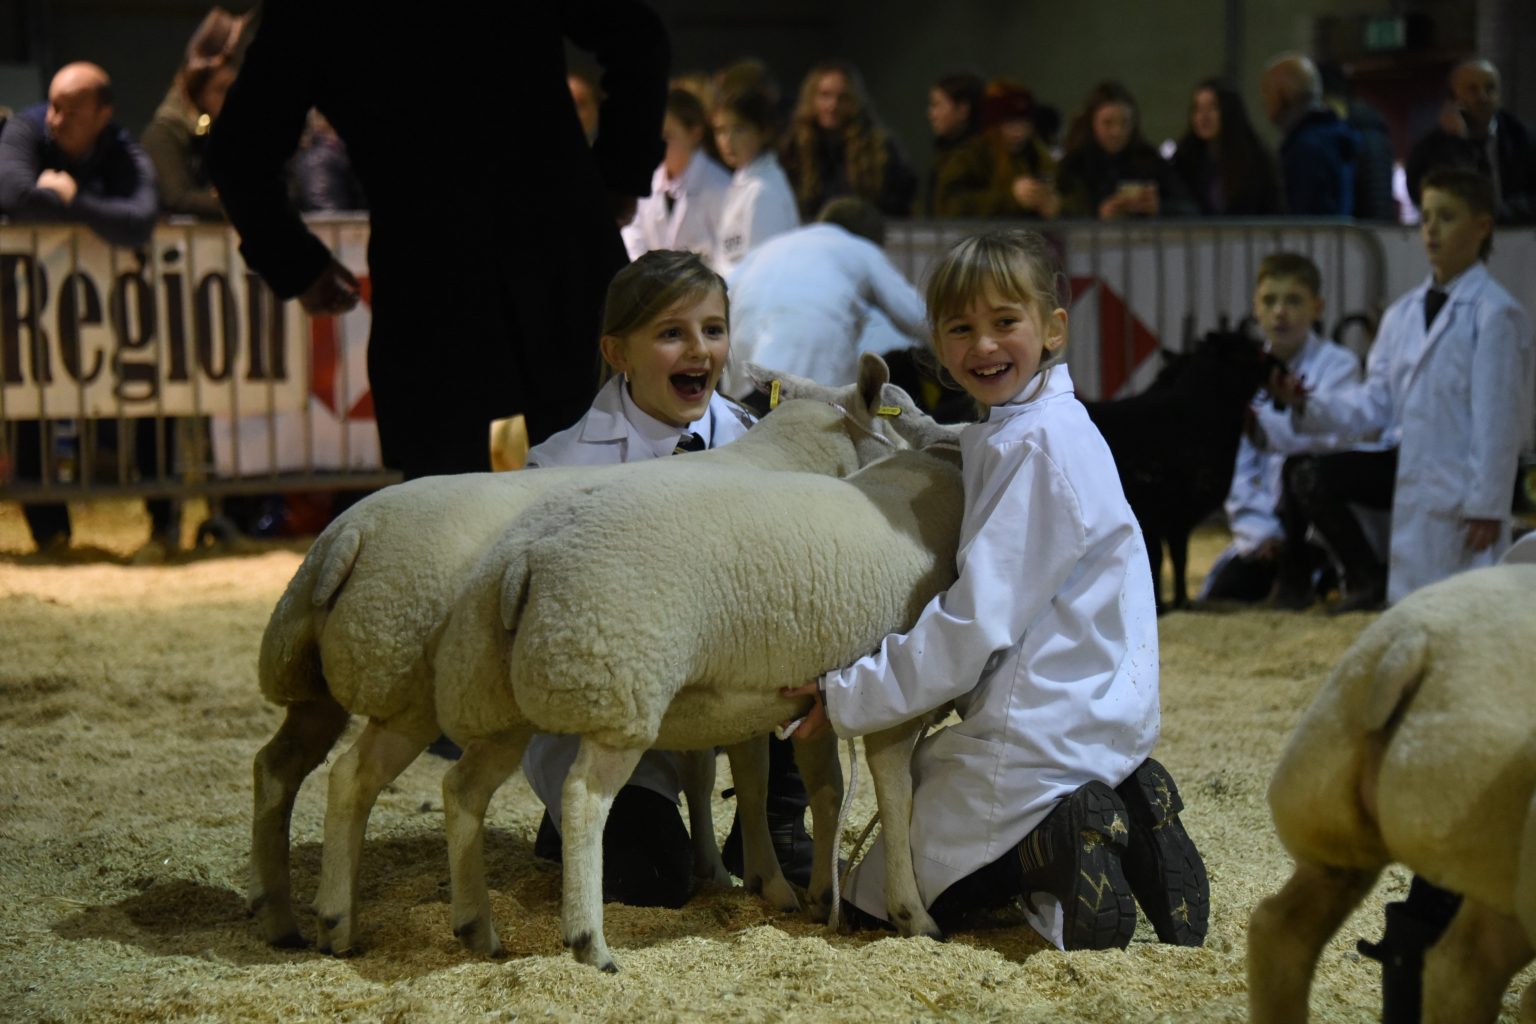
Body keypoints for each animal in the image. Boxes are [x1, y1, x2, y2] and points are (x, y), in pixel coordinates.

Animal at [251, 356, 921, 957]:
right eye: (903, 408)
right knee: (356, 777)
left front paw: (722, 871)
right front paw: (775, 885)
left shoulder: (713, 678)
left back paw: (292, 918)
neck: (791, 460)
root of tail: (344, 538)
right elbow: (771, 781)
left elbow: (711, 777)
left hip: (327, 683)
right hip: (407, 682)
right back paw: (347, 921)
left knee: (285, 769)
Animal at [427, 442, 964, 970]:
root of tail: (525, 555)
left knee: (463, 789)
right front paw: (911, 913)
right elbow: (896, 795)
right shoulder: (897, 700)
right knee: (582, 796)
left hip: (494, 694)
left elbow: (825, 790)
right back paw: (589, 942)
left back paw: (476, 927)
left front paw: (821, 895)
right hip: (620, 683)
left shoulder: (815, 704)